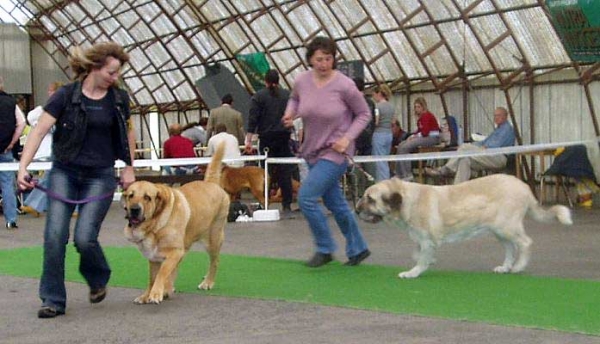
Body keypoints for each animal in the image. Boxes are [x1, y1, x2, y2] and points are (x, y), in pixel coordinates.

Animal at [123, 142, 230, 304]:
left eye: (147, 197)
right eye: (131, 196)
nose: (134, 209)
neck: (155, 225)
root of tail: (211, 183)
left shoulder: (174, 252)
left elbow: (162, 273)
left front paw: (156, 293)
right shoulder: (154, 257)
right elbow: (152, 278)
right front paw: (147, 295)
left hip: (213, 239)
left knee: (215, 261)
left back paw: (207, 282)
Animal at [356, 176, 572, 278]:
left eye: (370, 199)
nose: (356, 209)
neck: (408, 201)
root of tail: (525, 187)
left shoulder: (427, 240)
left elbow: (421, 259)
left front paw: (413, 273)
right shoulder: (421, 240)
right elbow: (418, 255)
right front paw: (428, 262)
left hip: (507, 227)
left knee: (525, 243)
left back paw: (518, 266)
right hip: (499, 231)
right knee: (511, 248)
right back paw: (505, 267)